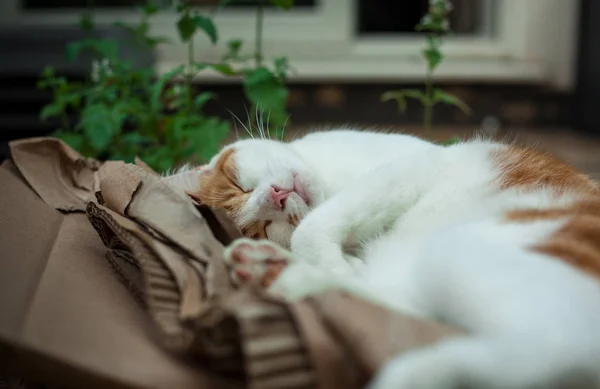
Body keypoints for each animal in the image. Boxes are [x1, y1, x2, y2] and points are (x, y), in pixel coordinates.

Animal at [162, 128, 600, 388]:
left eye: (240, 185)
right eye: (262, 225)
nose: (275, 197)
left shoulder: (412, 167)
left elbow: (312, 229)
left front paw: (331, 260)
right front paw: (329, 263)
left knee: (552, 351)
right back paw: (274, 271)